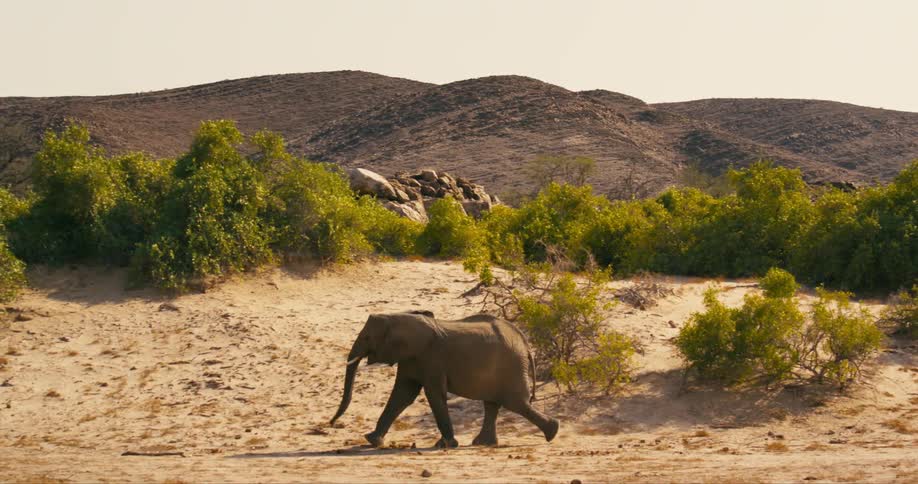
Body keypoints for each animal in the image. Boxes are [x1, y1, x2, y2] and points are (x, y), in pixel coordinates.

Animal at [330, 311, 560, 448]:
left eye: (367, 338)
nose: (331, 423)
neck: (400, 317)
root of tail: (525, 343)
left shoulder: (432, 358)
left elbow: (432, 394)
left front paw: (447, 445)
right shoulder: (412, 359)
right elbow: (402, 395)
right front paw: (371, 439)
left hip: (511, 366)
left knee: (515, 403)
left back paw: (553, 432)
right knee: (493, 404)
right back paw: (483, 443)